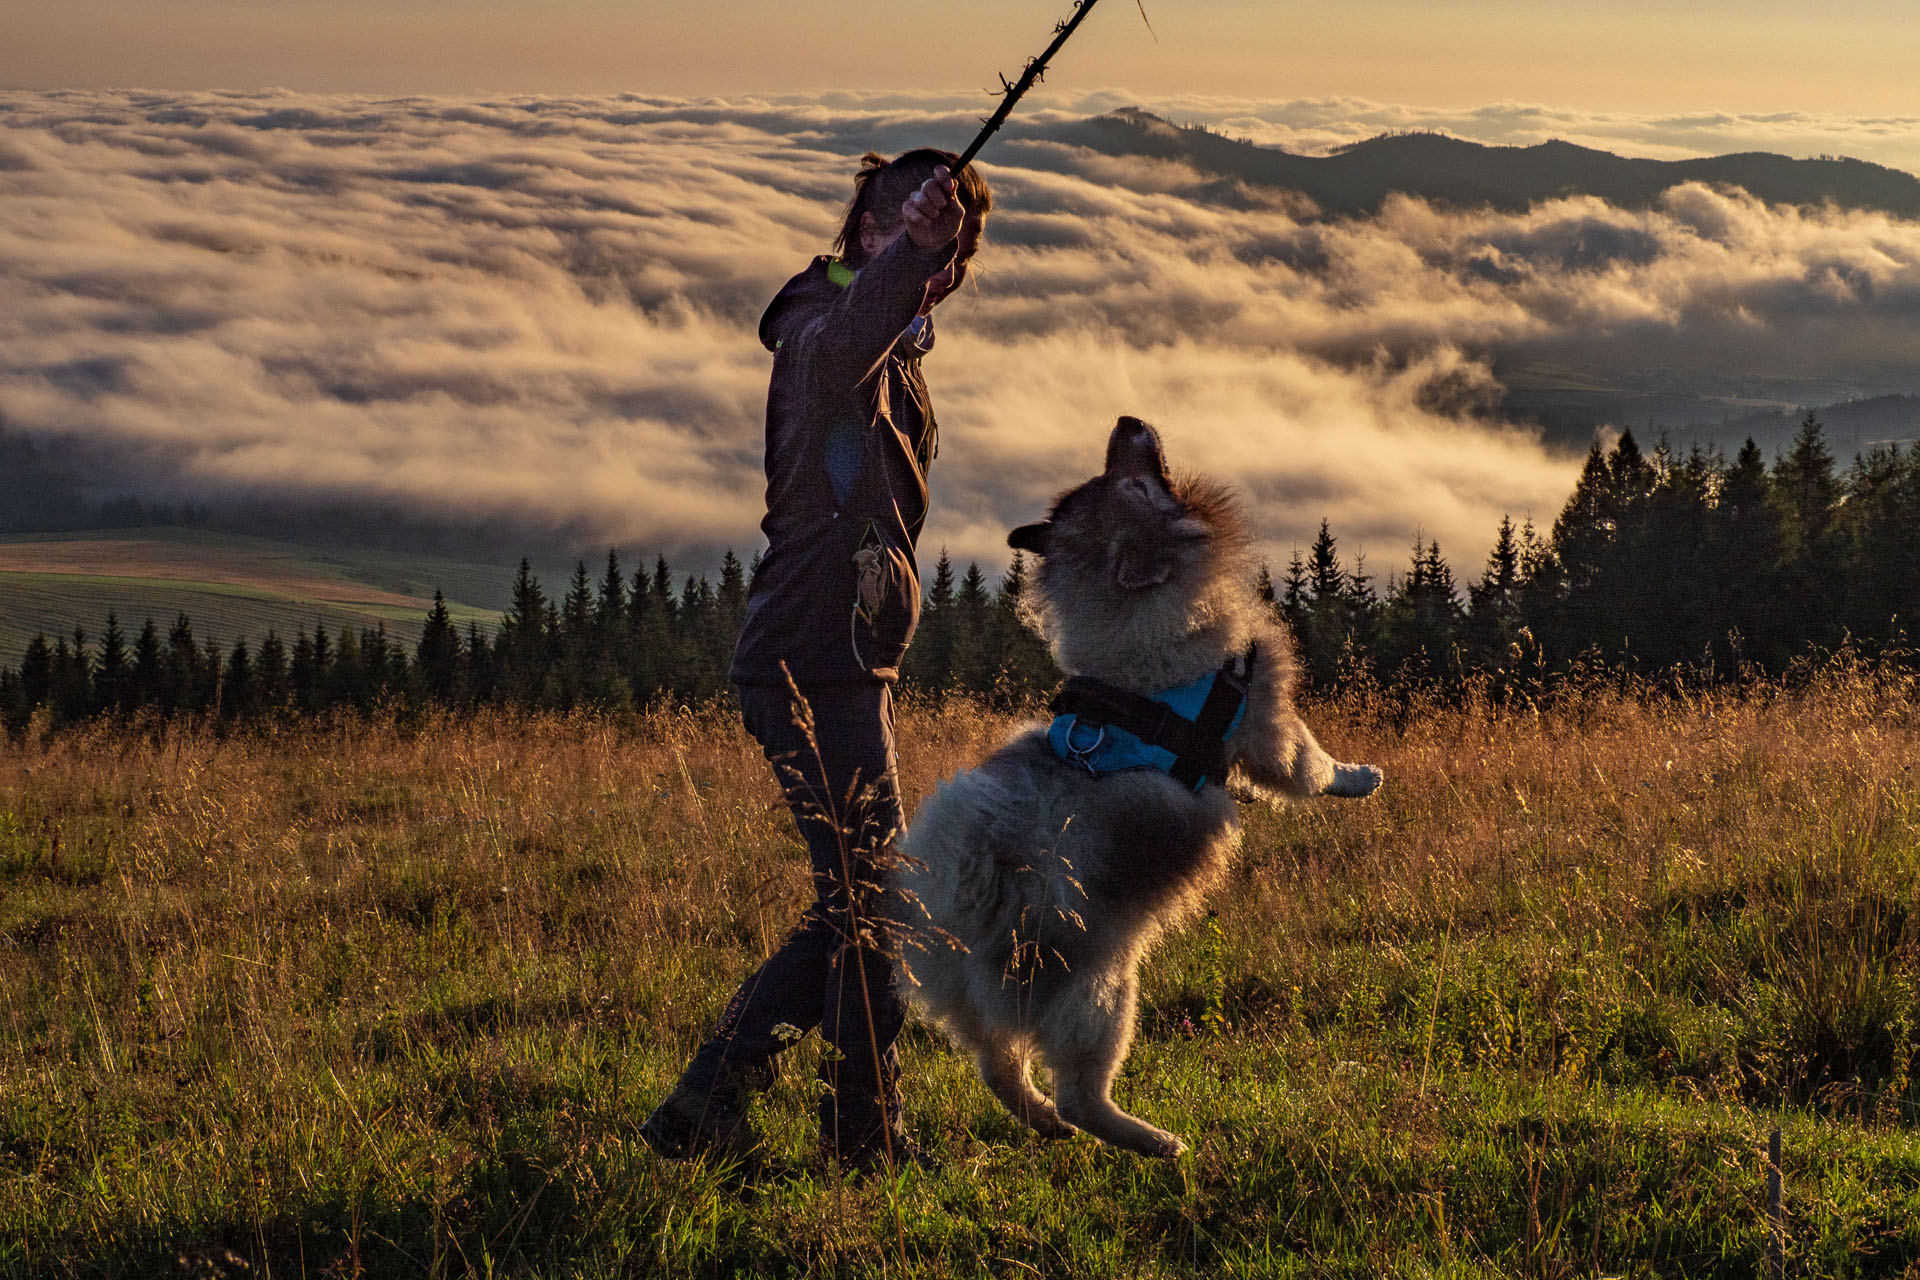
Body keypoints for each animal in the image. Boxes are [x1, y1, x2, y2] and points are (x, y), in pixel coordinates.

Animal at [890, 416, 1390, 1159]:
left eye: (1104, 478)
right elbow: (1313, 766)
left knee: (997, 1064)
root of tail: (960, 901)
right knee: (1079, 1087)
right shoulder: (1266, 721)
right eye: (1132, 483)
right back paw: (1152, 1140)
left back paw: (1044, 1119)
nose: (1127, 421)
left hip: (992, 1010)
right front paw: (1362, 778)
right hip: (1102, 996)